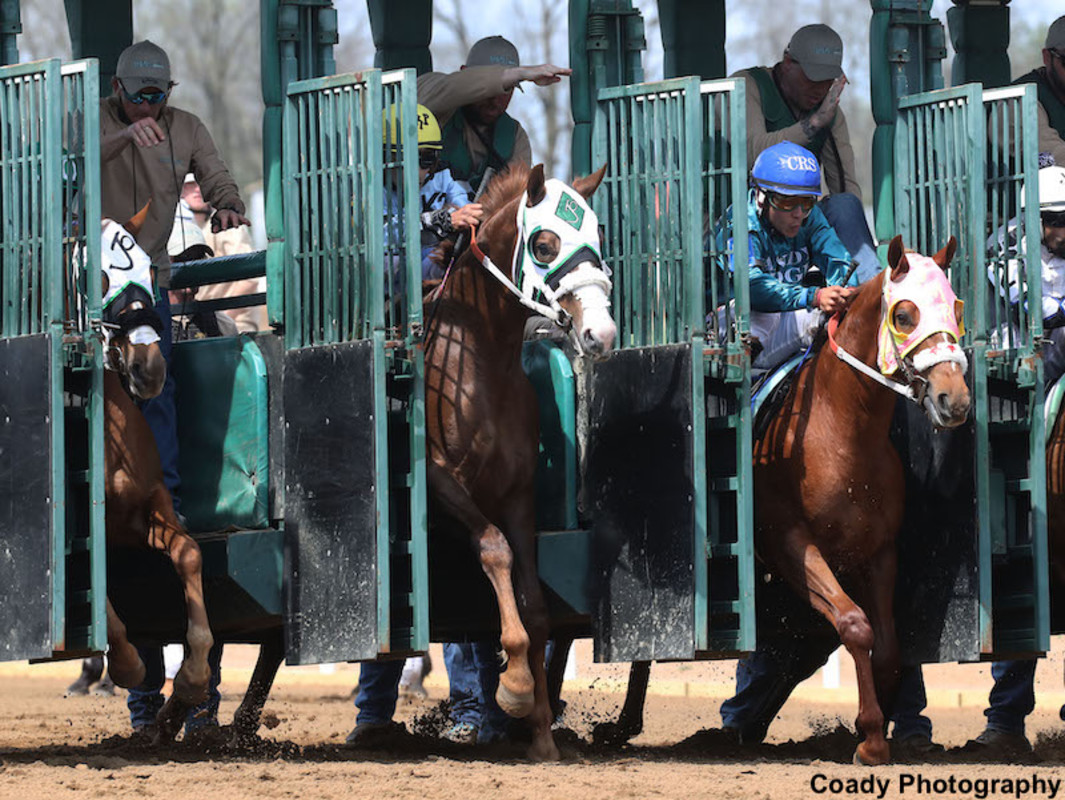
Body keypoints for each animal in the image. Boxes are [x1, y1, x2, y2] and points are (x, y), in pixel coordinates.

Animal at [425, 162, 615, 760]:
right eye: (545, 243)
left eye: (598, 239)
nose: (601, 333)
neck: (477, 367)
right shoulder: (440, 482)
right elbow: (494, 549)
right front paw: (513, 687)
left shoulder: (519, 493)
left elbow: (534, 602)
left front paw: (539, 730)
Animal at [580, 236, 971, 764]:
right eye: (904, 314)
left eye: (955, 307)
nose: (955, 398)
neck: (843, 431)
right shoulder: (790, 544)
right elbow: (855, 624)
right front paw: (869, 737)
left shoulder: (878, 551)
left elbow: (887, 646)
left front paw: (871, 731)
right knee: (646, 638)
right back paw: (622, 725)